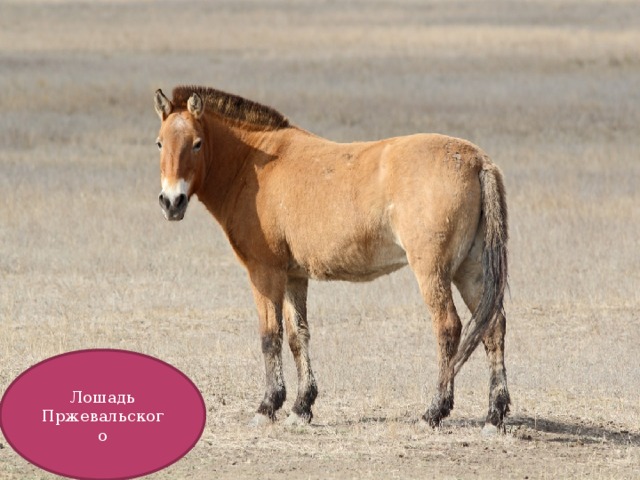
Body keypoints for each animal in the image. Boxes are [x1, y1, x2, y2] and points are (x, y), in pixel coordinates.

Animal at [153, 85, 510, 433]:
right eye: (159, 143)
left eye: (197, 143)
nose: (171, 202)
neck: (254, 165)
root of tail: (477, 161)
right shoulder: (294, 276)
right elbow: (297, 336)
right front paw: (301, 407)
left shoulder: (264, 273)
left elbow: (270, 336)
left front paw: (267, 407)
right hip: (469, 270)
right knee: (492, 326)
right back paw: (495, 415)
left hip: (433, 272)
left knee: (449, 328)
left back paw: (433, 412)